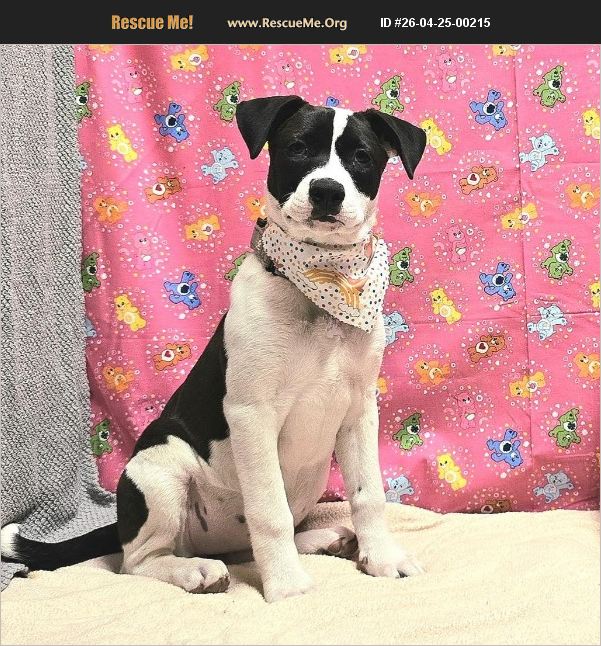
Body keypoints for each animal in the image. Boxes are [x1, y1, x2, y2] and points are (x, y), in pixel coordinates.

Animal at [1, 96, 426, 602]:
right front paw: (286, 586)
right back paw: (195, 571)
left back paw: (322, 538)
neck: (317, 288)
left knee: (251, 541)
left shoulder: (359, 410)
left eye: (362, 157)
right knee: (138, 561)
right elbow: (269, 511)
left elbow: (368, 495)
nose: (327, 192)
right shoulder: (251, 414)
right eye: (298, 148)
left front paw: (380, 558)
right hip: (160, 466)